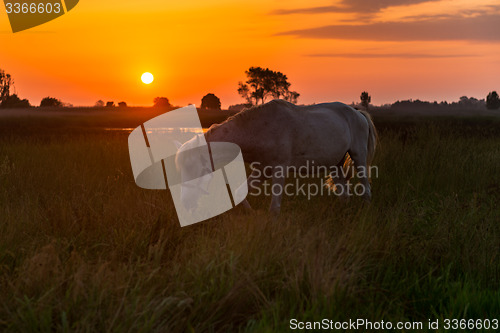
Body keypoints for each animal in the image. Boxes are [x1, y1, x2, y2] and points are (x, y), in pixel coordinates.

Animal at [176, 99, 376, 213]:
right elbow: (240, 192)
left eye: (195, 169)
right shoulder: (262, 171)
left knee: (366, 188)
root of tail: (357, 112)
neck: (259, 130)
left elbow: (274, 208)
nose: (185, 203)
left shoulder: (279, 170)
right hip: (335, 164)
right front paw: (250, 214)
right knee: (344, 194)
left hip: (358, 157)